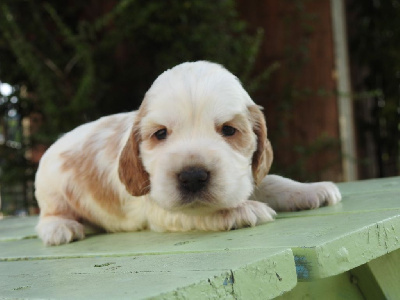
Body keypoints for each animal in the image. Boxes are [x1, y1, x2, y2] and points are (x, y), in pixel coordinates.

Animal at [35, 61, 340, 246]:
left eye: (229, 130)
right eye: (160, 134)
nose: (193, 177)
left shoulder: (242, 176)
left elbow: (272, 181)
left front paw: (312, 189)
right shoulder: (158, 208)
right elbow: (195, 212)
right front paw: (241, 209)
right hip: (50, 191)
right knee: (47, 216)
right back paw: (61, 228)